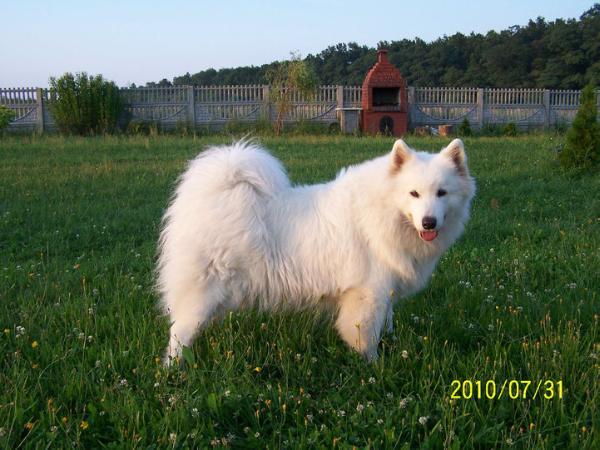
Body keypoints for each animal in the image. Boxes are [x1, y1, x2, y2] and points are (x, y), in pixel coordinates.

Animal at [157, 139, 476, 364]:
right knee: (177, 333)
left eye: (442, 193)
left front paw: (393, 345)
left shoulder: (385, 289)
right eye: (414, 194)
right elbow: (366, 336)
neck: (385, 210)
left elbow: (387, 321)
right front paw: (374, 365)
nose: (429, 222)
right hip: (203, 294)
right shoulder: (367, 293)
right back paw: (174, 371)